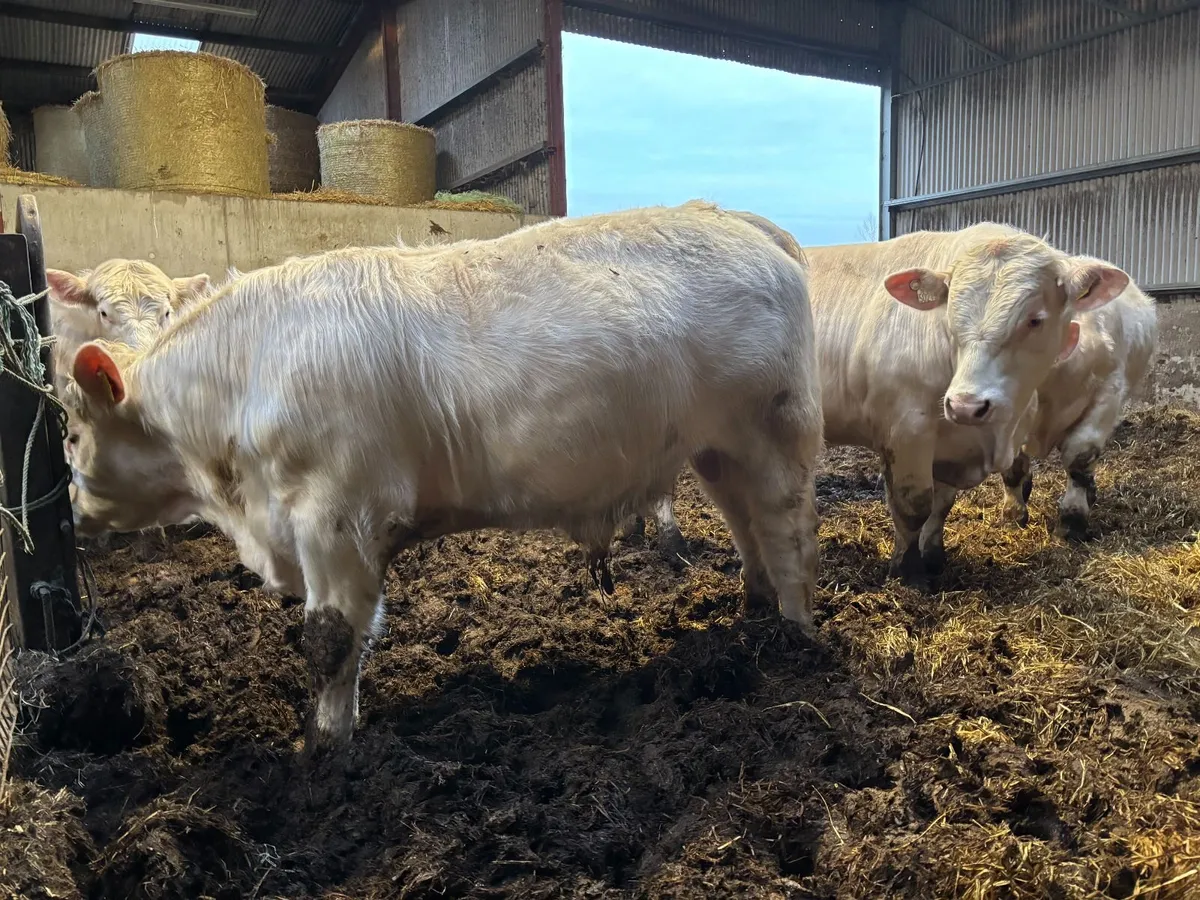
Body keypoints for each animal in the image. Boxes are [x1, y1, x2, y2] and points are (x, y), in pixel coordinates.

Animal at [60, 200, 824, 752]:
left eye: (70, 429)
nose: (70, 507)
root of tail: (741, 223)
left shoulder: (333, 518)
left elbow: (330, 639)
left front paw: (327, 748)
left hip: (774, 431)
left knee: (786, 531)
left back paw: (793, 637)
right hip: (715, 447)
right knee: (744, 524)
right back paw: (750, 612)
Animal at [635, 222, 1129, 589]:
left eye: (1035, 319)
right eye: (951, 317)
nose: (967, 404)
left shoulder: (952, 442)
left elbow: (942, 504)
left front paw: (934, 555)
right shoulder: (907, 429)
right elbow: (913, 503)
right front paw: (906, 571)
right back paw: (671, 540)